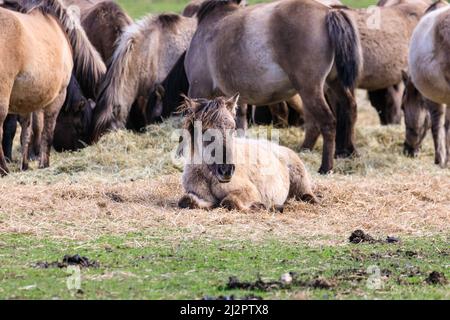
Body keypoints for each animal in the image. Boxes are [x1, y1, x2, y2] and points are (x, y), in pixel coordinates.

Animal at [0, 0, 105, 175]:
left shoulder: (27, 100)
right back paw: (3, 169)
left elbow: (27, 131)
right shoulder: (57, 97)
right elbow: (45, 131)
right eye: (79, 126)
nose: (79, 149)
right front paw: (43, 163)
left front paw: (25, 164)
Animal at [177, 94, 316, 212]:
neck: (210, 176)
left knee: (307, 196)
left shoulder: (248, 191)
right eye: (205, 130)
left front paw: (260, 206)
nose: (226, 170)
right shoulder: (200, 196)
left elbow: (229, 202)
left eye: (233, 128)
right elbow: (186, 201)